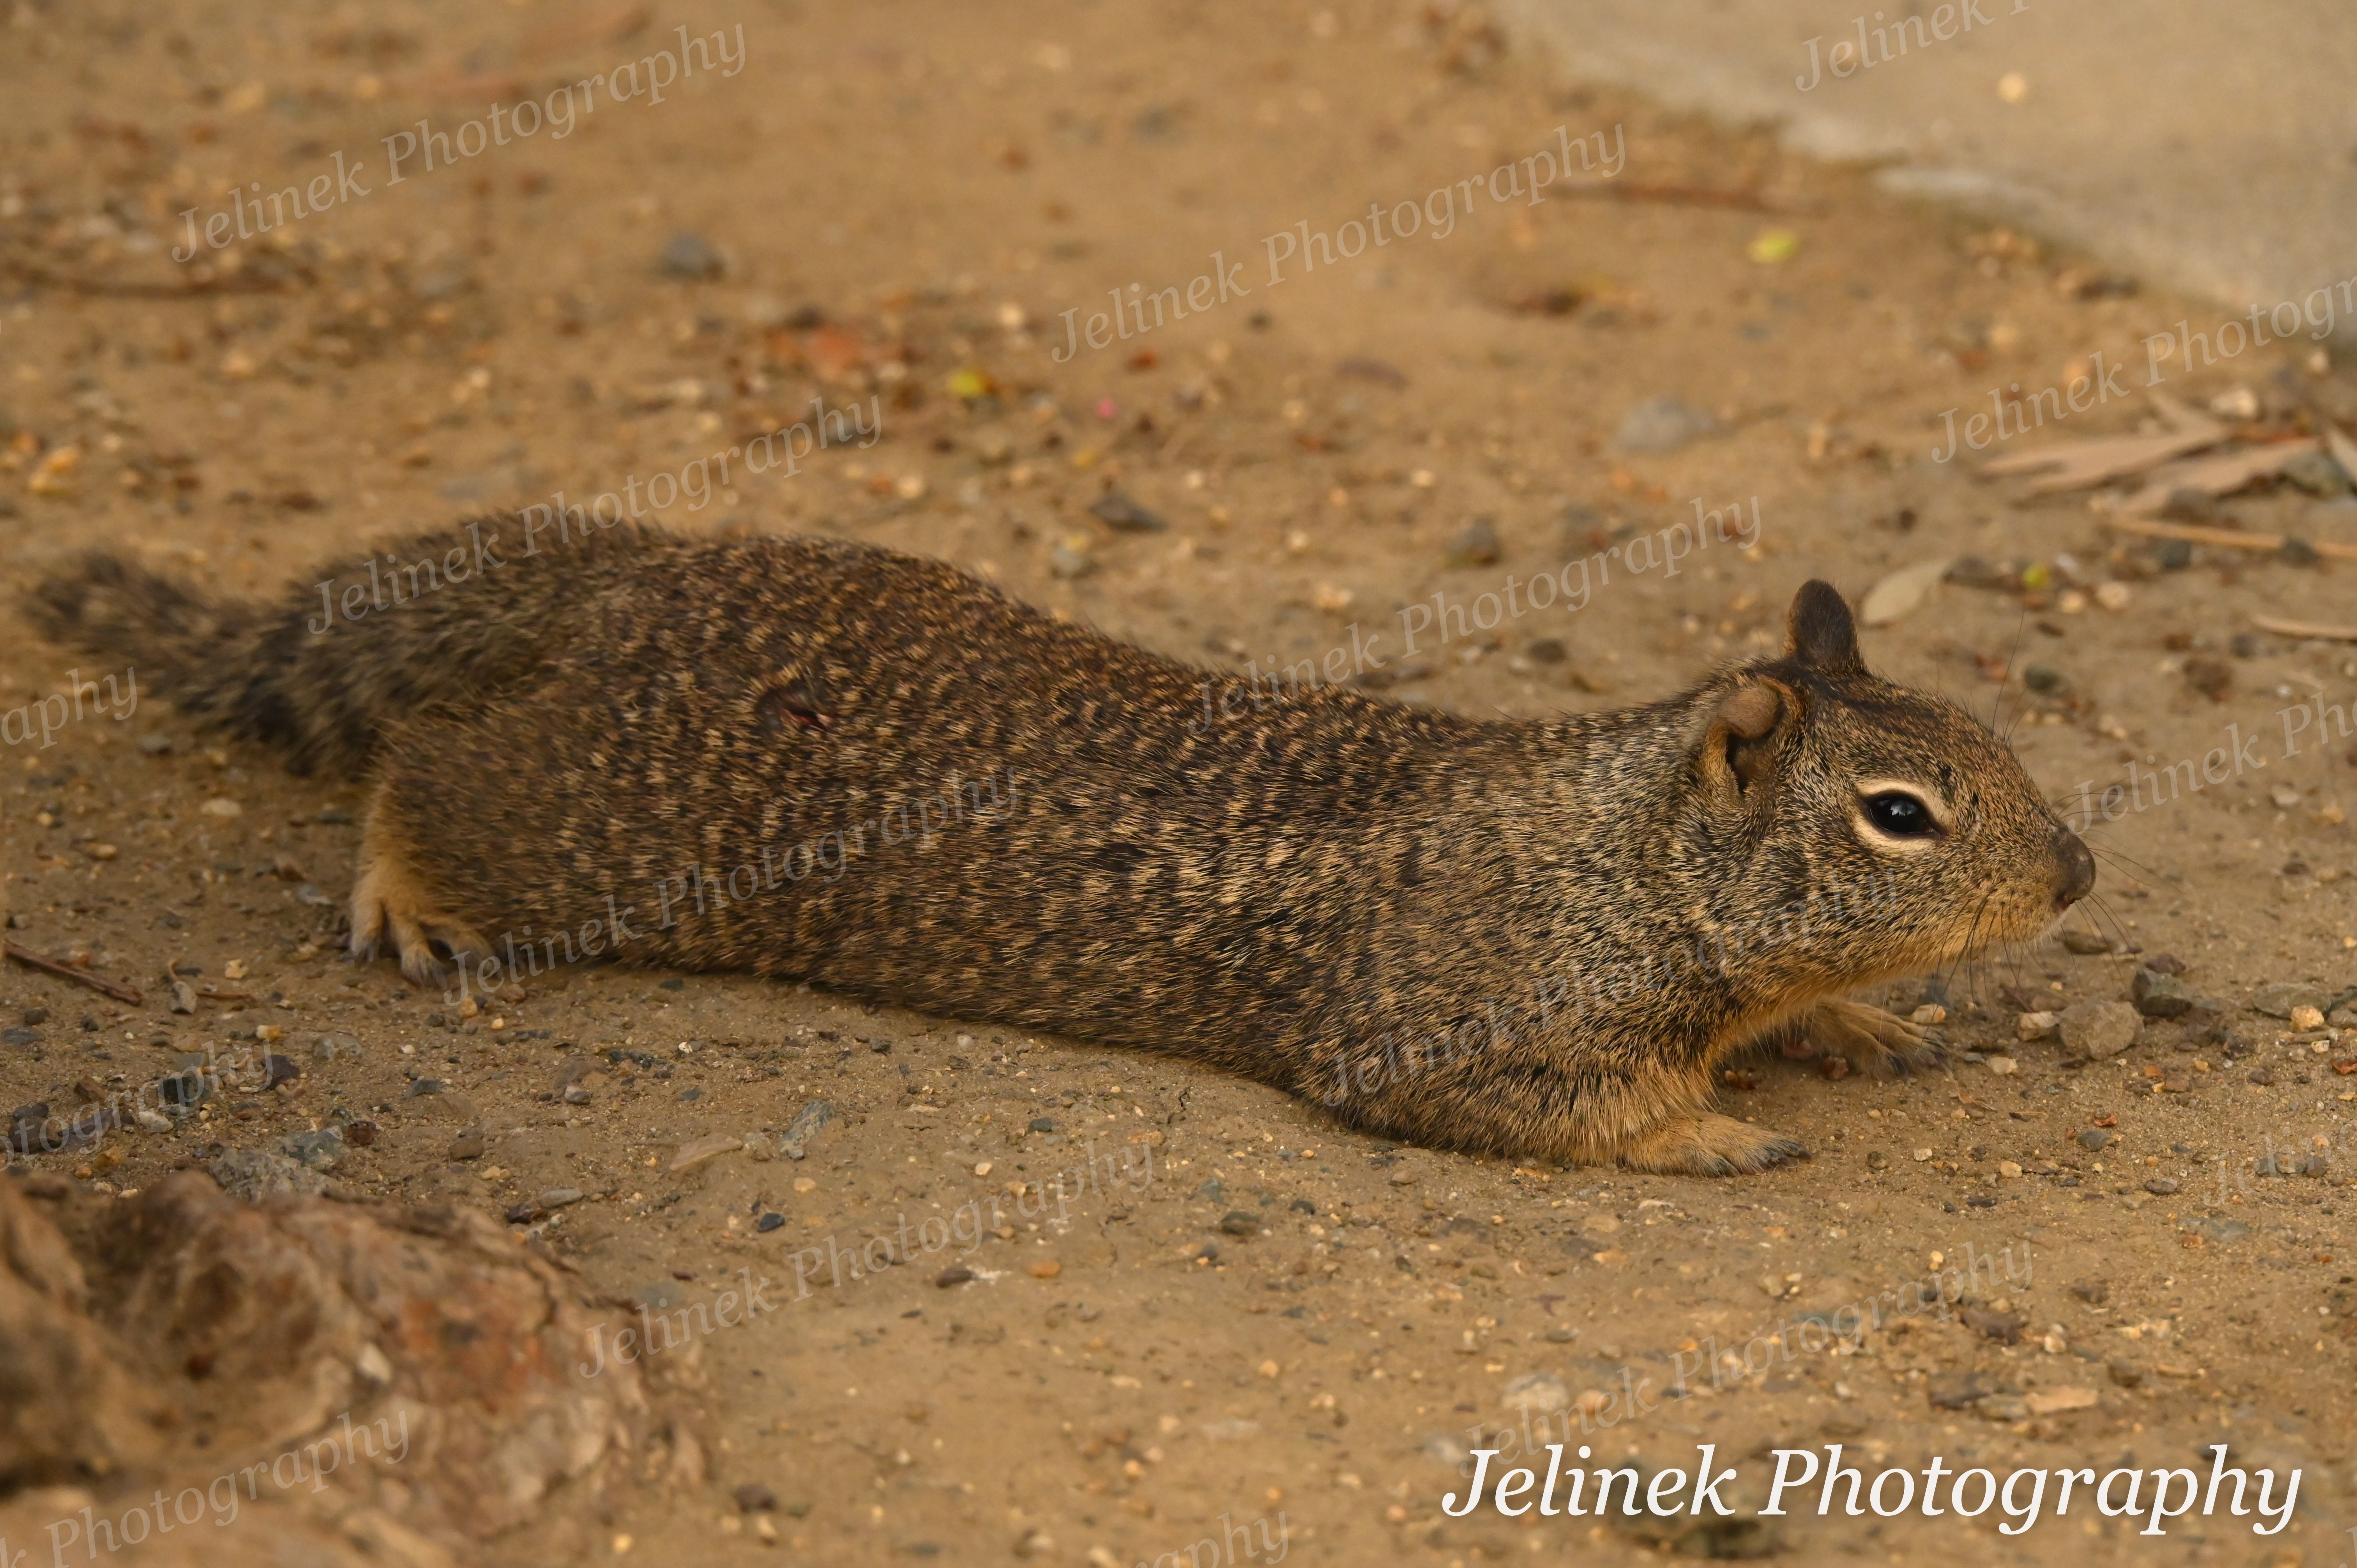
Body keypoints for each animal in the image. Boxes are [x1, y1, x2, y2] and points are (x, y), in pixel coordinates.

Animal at [24, 518, 2093, 1175]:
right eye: (1902, 813)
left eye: (2001, 748)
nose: (2076, 872)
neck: (1627, 856)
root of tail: (631, 572)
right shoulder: (1456, 1024)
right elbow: (1578, 1107)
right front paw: (1723, 1131)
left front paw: (1859, 1026)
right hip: (576, 825)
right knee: (419, 772)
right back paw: (402, 893)